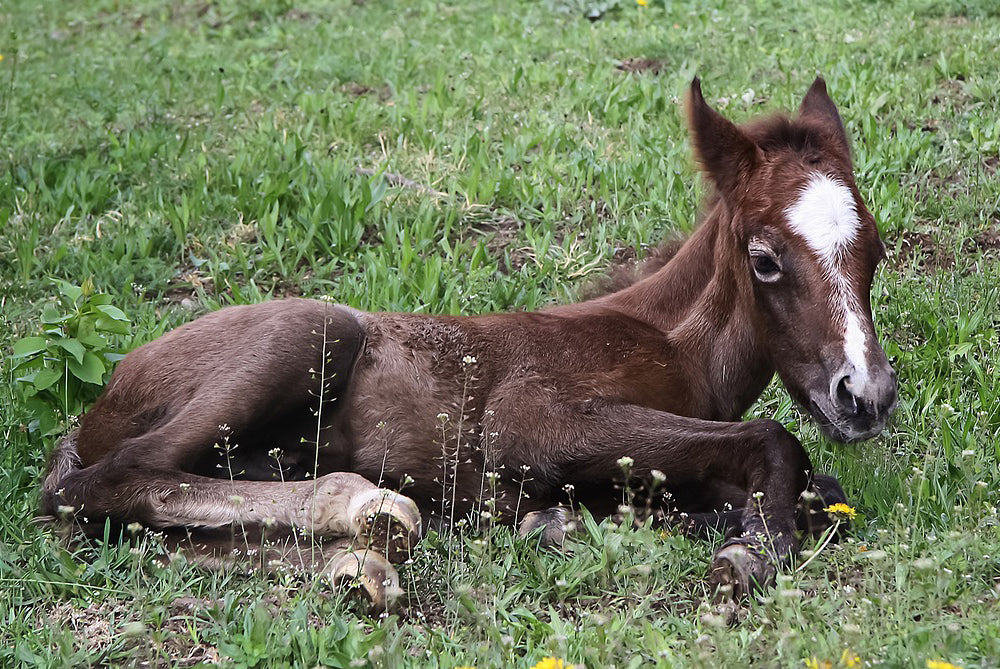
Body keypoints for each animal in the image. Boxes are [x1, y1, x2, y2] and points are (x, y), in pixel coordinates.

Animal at [39, 77, 900, 604]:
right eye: (765, 258)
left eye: (876, 248)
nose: (865, 395)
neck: (670, 341)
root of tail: (99, 403)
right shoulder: (528, 419)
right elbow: (777, 440)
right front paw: (750, 547)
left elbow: (817, 490)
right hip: (311, 329)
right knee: (106, 484)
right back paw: (366, 507)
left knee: (145, 527)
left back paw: (362, 559)